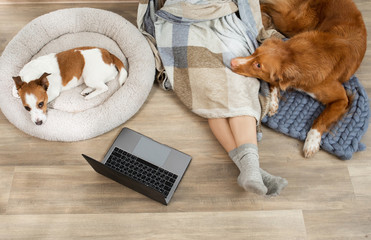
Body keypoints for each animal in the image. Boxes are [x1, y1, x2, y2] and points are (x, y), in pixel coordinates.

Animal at [231, 0, 368, 158]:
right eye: (254, 52)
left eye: (258, 65)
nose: (232, 62)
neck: (296, 56)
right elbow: (274, 83)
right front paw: (273, 103)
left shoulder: (342, 99)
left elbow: (321, 118)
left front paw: (312, 142)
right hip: (291, 22)